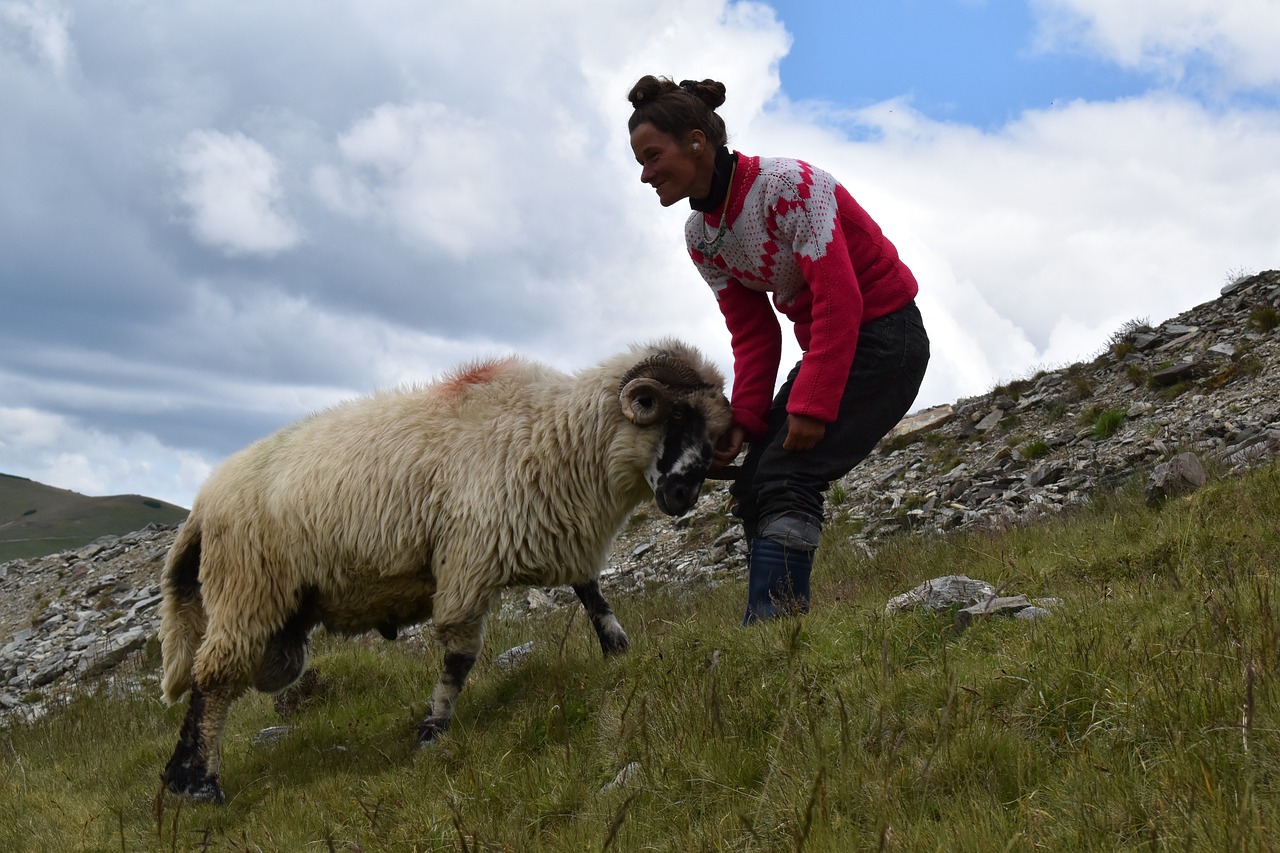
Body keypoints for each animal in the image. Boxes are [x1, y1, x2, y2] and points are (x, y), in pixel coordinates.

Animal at [157, 335, 732, 799]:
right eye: (677, 416)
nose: (684, 496)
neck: (553, 435)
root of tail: (202, 504)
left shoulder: (551, 531)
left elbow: (593, 594)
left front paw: (617, 649)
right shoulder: (468, 559)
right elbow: (459, 654)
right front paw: (433, 731)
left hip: (275, 618)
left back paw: (178, 778)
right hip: (247, 590)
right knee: (212, 680)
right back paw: (201, 784)